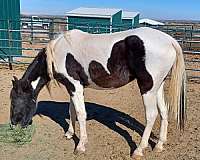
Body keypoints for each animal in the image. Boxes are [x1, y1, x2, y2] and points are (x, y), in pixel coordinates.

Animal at [10, 26, 186, 158]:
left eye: (15, 100)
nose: (14, 124)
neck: (58, 53)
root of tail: (170, 41)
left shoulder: (75, 86)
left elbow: (81, 113)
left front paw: (81, 146)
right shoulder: (72, 87)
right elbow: (72, 110)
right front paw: (69, 134)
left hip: (147, 88)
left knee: (151, 115)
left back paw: (139, 150)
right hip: (158, 86)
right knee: (163, 111)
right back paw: (159, 145)